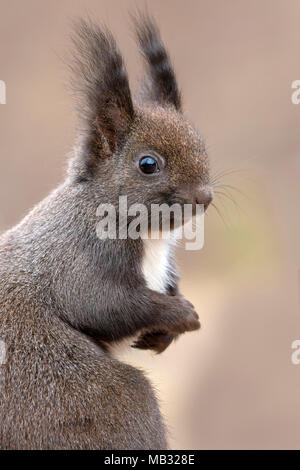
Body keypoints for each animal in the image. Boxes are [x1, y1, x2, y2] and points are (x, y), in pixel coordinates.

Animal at [0, 12, 212, 450]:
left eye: (200, 141)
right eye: (148, 164)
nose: (206, 196)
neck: (150, 235)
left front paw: (164, 333)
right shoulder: (78, 257)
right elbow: (100, 303)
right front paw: (182, 315)